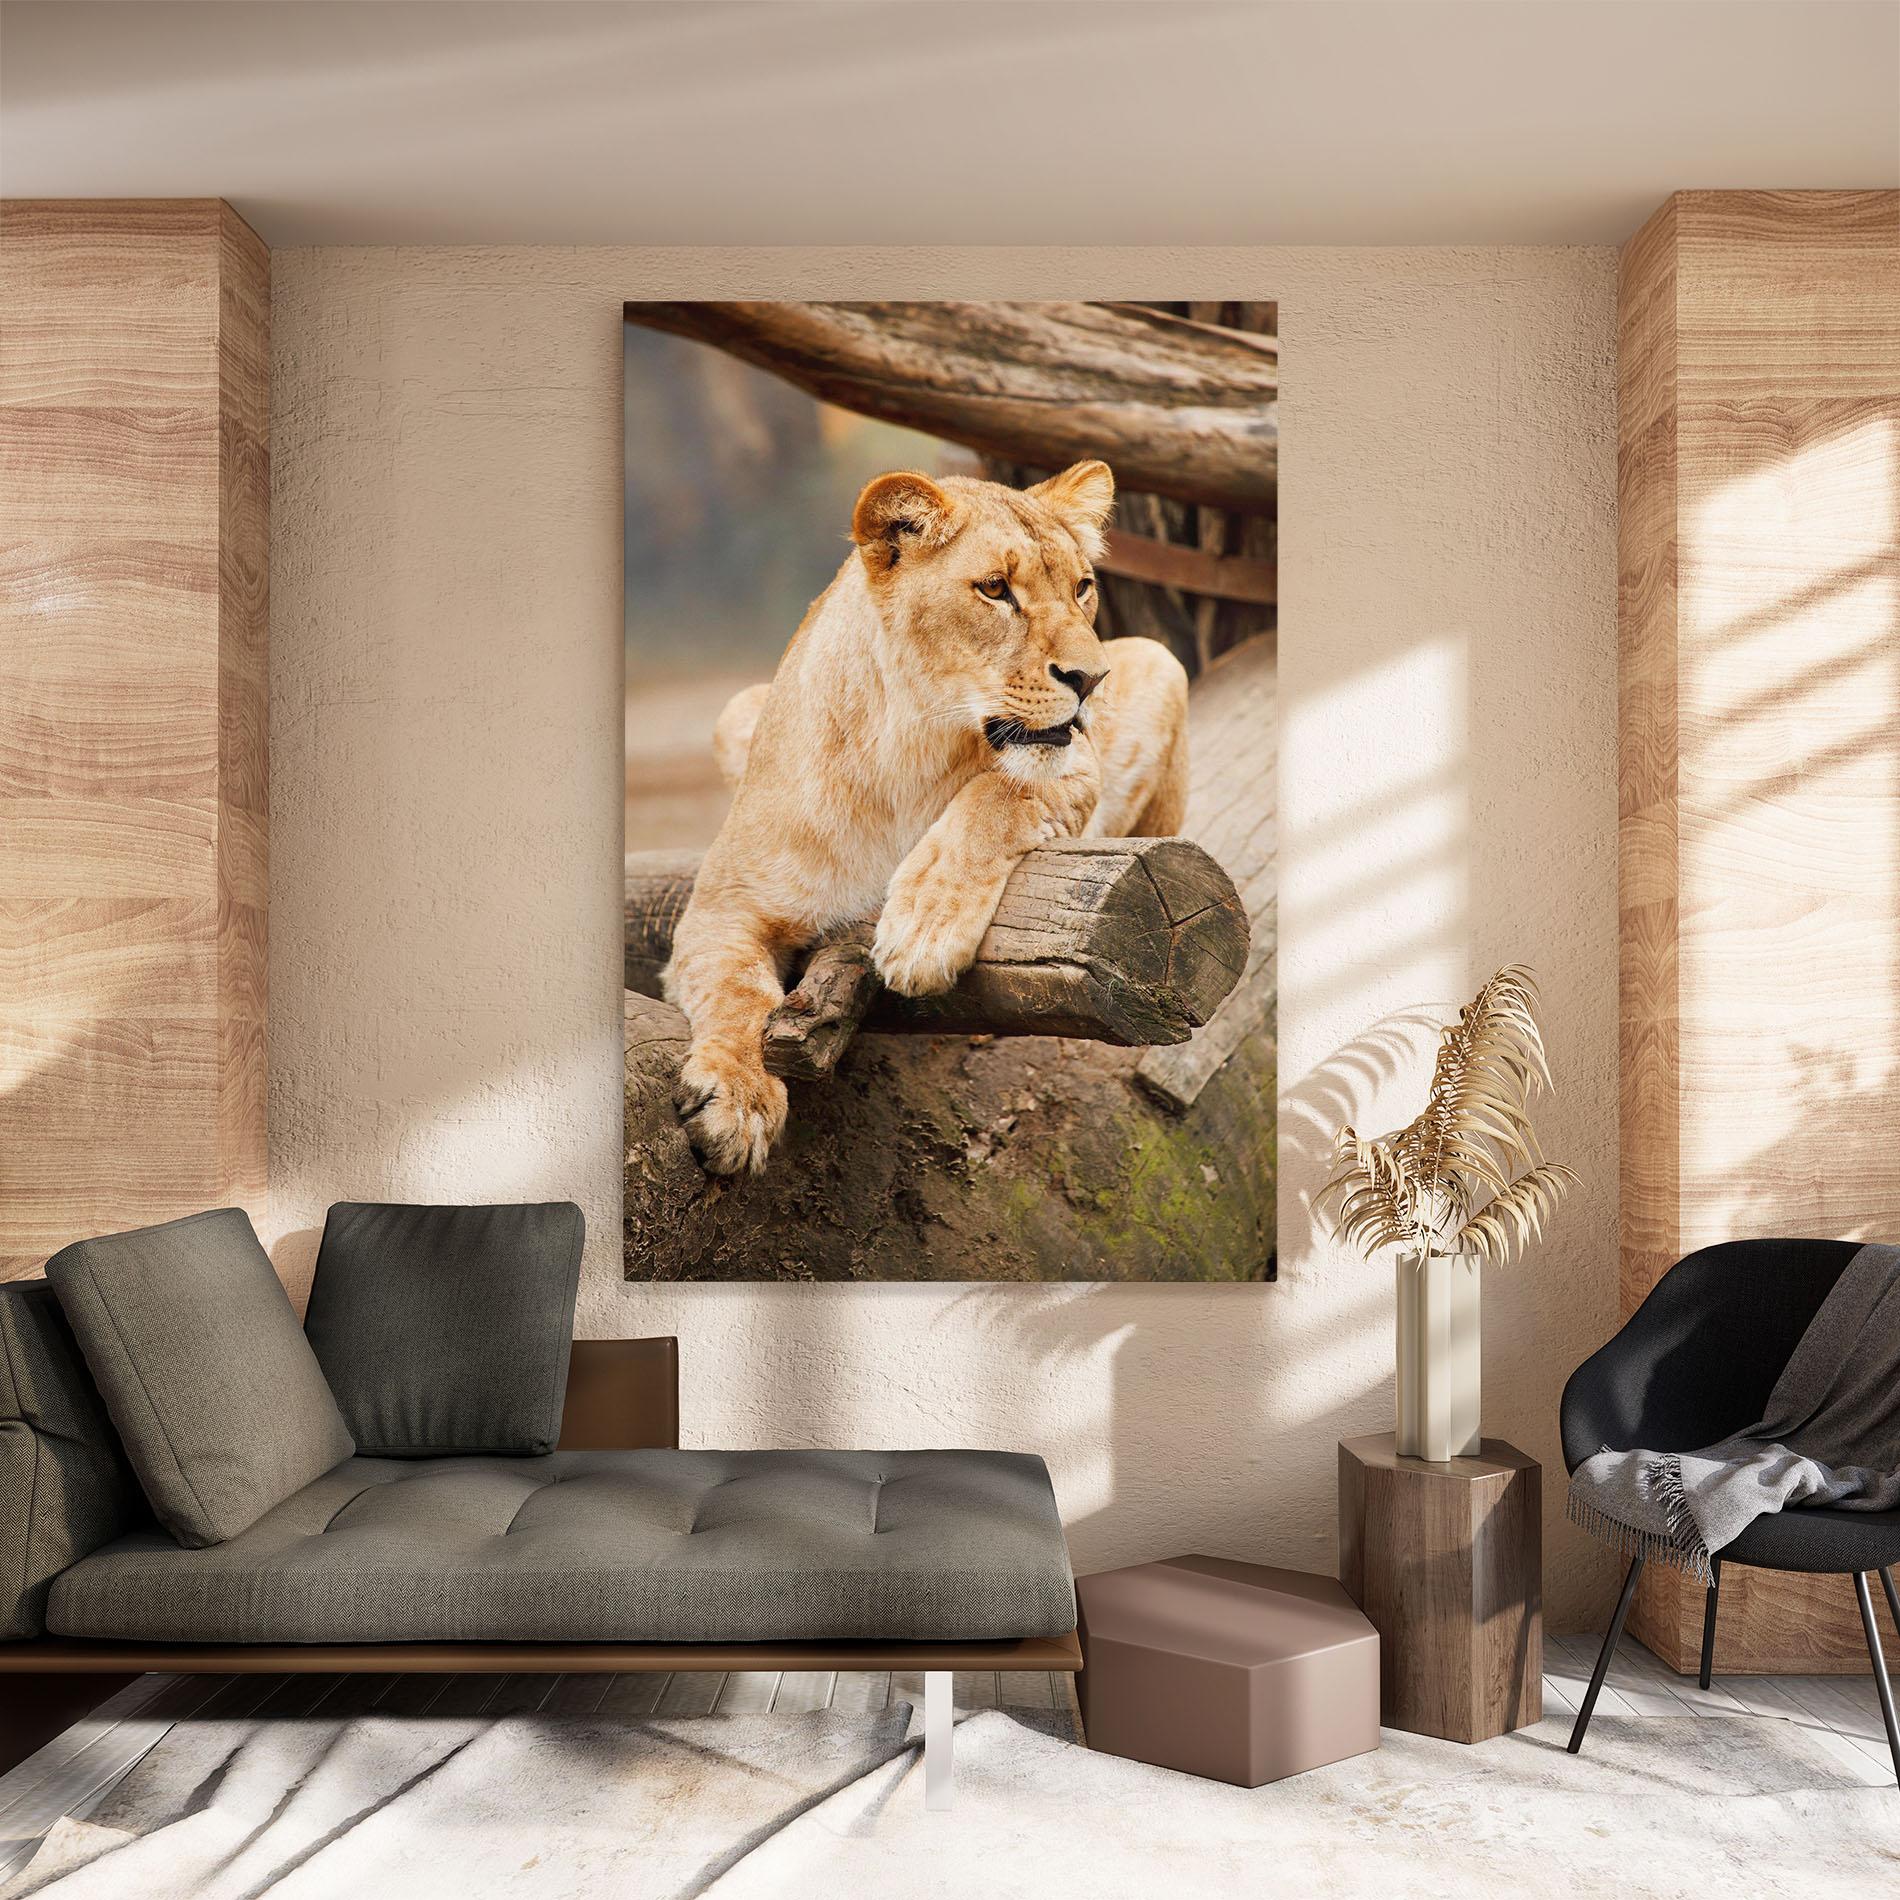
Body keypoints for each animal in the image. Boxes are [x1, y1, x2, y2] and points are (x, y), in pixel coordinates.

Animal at [663, 460, 1189, 1174]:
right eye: (995, 589)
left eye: (1082, 588)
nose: (1091, 679)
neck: (906, 752)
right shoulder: (721, 908)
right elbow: (735, 991)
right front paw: (737, 1101)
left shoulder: (1076, 767)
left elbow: (996, 795)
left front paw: (922, 931)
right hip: (735, 710)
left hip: (1162, 662)